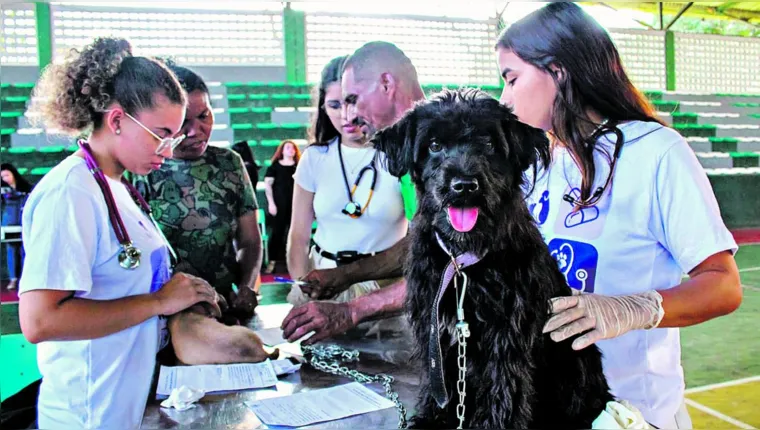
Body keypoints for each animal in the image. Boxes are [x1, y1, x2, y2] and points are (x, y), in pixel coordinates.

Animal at [374, 89, 616, 428]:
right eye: (434, 145)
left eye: (488, 144)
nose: (464, 186)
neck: (462, 261)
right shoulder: (434, 330)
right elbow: (440, 385)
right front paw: (430, 419)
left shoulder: (506, 334)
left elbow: (503, 391)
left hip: (575, 360)